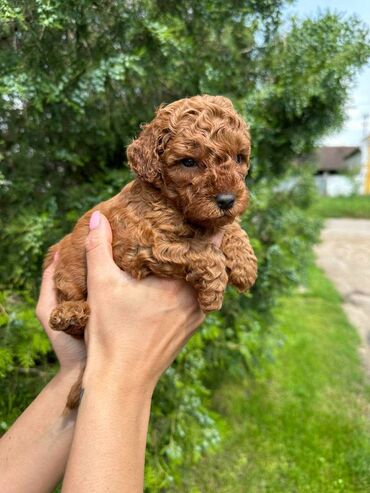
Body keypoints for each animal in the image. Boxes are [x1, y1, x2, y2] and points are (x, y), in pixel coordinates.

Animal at [44, 93, 258, 408]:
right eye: (189, 162)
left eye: (239, 158)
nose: (227, 199)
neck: (174, 205)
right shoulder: (141, 246)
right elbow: (200, 251)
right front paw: (214, 290)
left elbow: (231, 227)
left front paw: (245, 265)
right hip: (66, 278)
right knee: (68, 319)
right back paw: (71, 313)